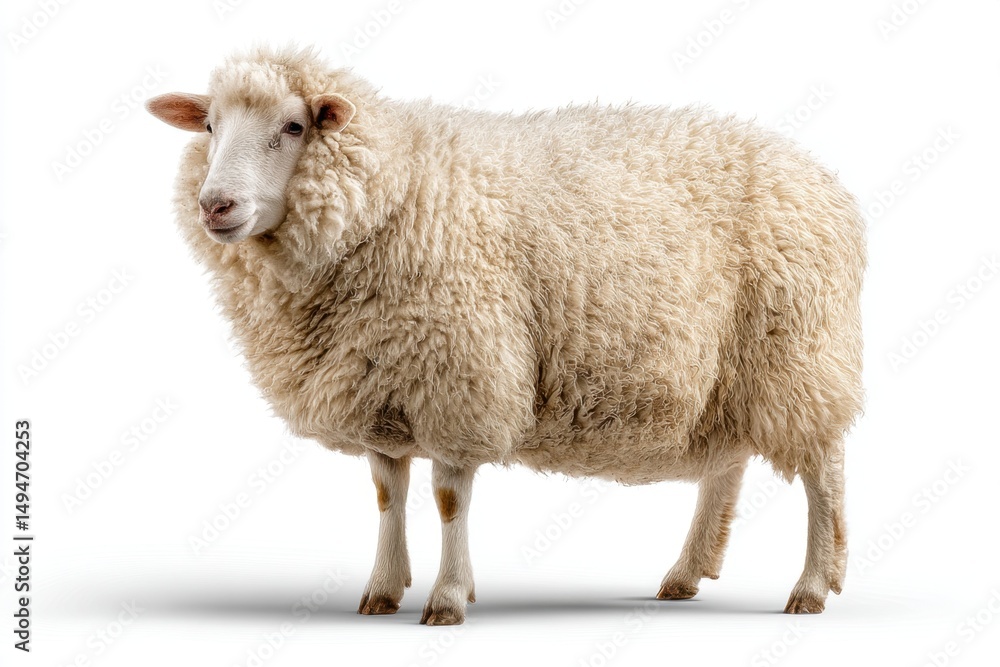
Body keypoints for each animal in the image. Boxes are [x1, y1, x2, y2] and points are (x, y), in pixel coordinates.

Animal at [145, 45, 865, 626]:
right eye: (209, 126)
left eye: (293, 127)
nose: (215, 205)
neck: (393, 192)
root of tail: (824, 182)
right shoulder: (380, 379)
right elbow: (387, 494)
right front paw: (382, 590)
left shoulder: (458, 376)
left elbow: (447, 500)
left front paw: (447, 599)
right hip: (733, 369)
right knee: (727, 465)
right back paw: (685, 574)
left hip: (798, 354)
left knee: (823, 473)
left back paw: (811, 586)